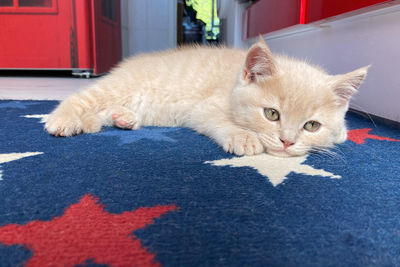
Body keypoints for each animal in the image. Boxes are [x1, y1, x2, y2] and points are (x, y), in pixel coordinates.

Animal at [44, 39, 368, 157]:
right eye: (272, 114)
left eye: (311, 126)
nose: (287, 142)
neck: (232, 83)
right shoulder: (204, 108)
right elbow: (219, 121)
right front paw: (243, 137)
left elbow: (341, 132)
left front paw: (340, 134)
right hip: (118, 86)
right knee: (79, 99)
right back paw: (62, 120)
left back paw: (123, 118)